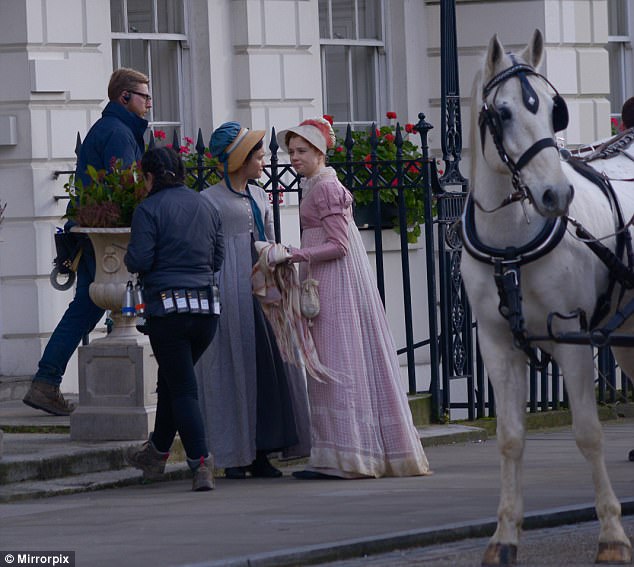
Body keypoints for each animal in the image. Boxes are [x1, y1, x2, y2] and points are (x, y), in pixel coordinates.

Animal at [460, 28, 632, 564]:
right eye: (502, 113)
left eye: (555, 109)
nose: (557, 196)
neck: (512, 240)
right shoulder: (497, 344)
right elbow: (510, 438)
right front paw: (505, 537)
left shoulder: (571, 336)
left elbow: (588, 434)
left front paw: (612, 535)